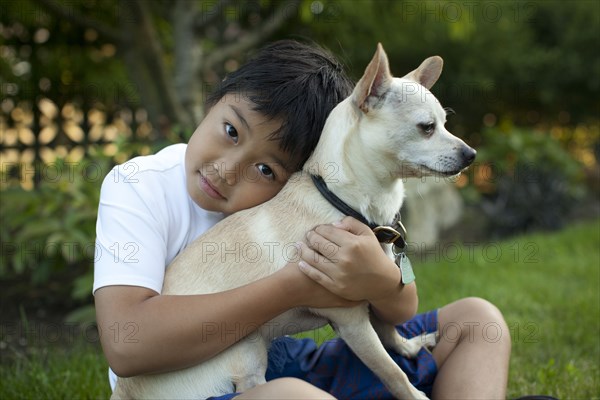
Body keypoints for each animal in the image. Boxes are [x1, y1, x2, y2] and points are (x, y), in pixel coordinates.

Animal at [111, 43, 478, 400]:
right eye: (427, 128)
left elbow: (390, 333)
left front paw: (410, 347)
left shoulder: (372, 291)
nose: (471, 154)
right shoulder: (352, 321)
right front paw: (414, 392)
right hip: (243, 344)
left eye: (446, 124)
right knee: (254, 386)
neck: (340, 199)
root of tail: (125, 392)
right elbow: (391, 372)